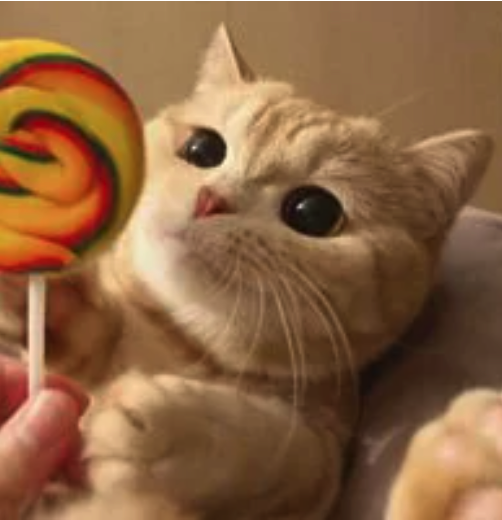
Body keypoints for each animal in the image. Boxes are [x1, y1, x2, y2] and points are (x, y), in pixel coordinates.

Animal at [0, 25, 494, 520]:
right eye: (202, 148)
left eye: (313, 212)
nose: (211, 200)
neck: (180, 347)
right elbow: (86, 336)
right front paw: (41, 298)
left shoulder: (321, 455)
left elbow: (280, 448)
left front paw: (166, 428)